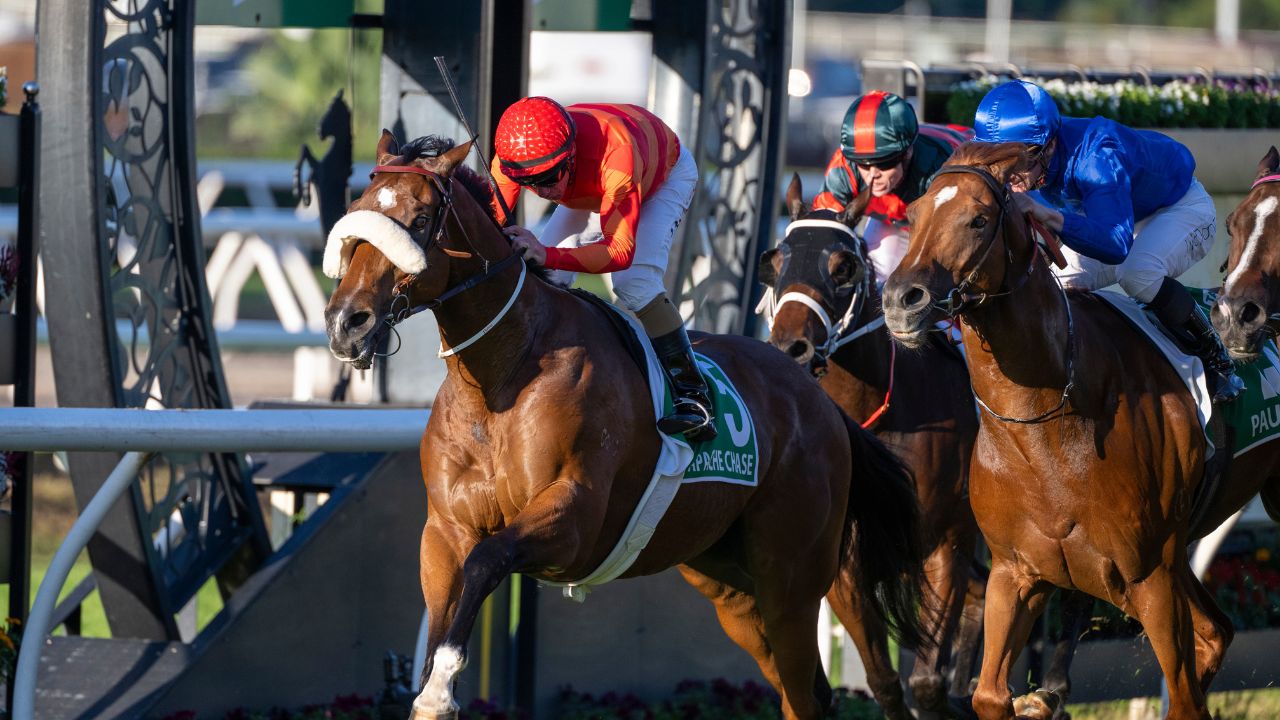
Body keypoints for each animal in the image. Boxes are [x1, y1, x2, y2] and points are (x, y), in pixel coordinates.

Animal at [323, 131, 929, 720]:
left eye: (422, 219)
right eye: (355, 212)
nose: (346, 323)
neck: (502, 377)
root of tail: (821, 403)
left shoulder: (573, 516)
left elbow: (486, 561)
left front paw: (440, 685)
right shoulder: (445, 529)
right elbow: (450, 589)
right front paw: (431, 685)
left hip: (792, 580)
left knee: (805, 692)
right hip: (730, 586)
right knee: (799, 691)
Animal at [758, 176, 984, 719]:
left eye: (844, 267)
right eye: (773, 262)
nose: (790, 347)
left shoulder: (949, 541)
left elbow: (926, 681)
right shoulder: (845, 567)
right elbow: (884, 680)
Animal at [881, 141, 1279, 720]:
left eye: (978, 220)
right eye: (912, 216)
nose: (899, 301)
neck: (1046, 426)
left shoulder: (1150, 577)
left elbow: (1183, 696)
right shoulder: (1015, 571)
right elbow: (988, 694)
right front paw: (1034, 700)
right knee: (1216, 633)